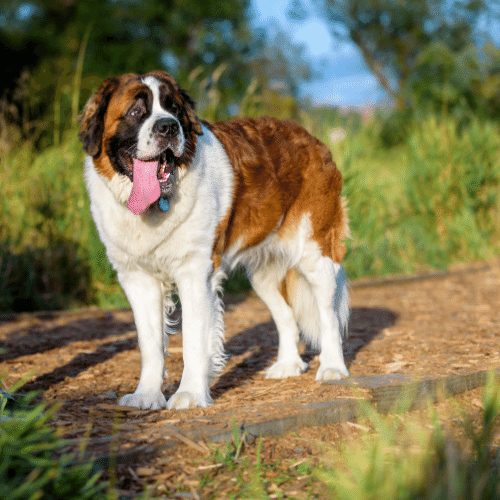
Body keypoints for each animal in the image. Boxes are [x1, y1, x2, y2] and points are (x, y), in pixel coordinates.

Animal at [80, 70, 350, 410]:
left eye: (174, 108)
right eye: (135, 111)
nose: (168, 126)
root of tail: (313, 140)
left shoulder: (195, 274)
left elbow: (194, 339)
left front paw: (190, 394)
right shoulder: (137, 279)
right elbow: (150, 343)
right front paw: (147, 395)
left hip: (316, 254)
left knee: (328, 314)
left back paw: (333, 367)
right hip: (263, 275)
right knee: (285, 314)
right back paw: (287, 365)